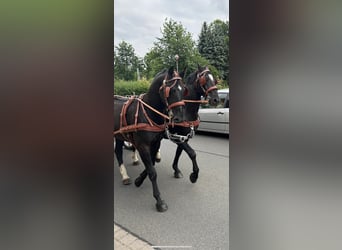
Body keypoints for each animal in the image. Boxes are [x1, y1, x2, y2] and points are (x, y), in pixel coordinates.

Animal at [113, 67, 186, 212]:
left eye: (183, 89)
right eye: (171, 90)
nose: (179, 118)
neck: (148, 111)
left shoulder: (155, 143)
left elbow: (151, 164)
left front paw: (139, 180)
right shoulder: (143, 146)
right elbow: (152, 172)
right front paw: (159, 200)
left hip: (120, 135)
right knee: (118, 152)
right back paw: (124, 175)